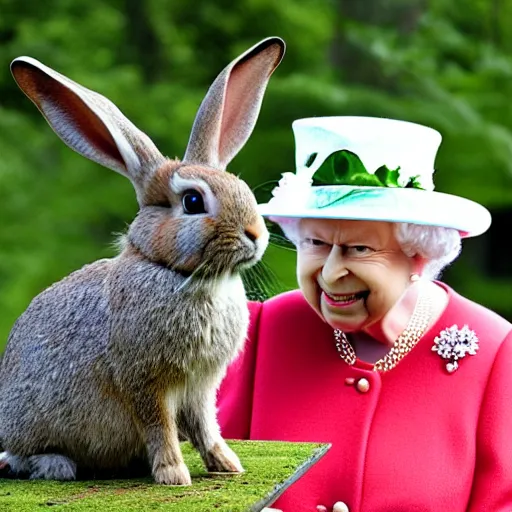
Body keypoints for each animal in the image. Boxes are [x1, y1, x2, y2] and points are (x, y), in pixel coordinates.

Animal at [0, 36, 284, 484]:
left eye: (238, 186)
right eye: (193, 201)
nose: (255, 234)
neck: (173, 270)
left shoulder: (200, 386)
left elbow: (205, 425)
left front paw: (226, 465)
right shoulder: (144, 382)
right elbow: (159, 426)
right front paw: (173, 475)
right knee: (23, 455)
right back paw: (57, 465)